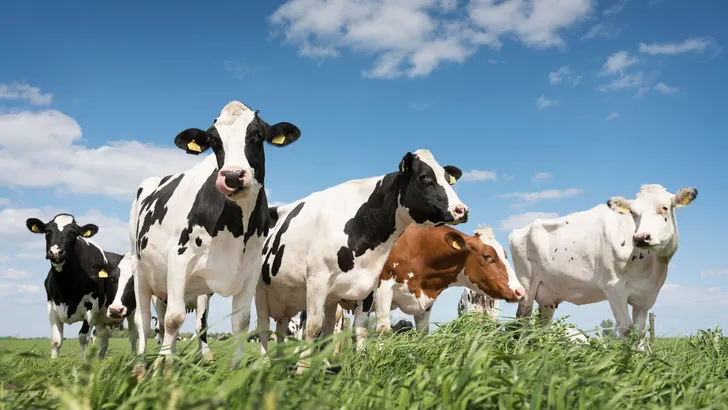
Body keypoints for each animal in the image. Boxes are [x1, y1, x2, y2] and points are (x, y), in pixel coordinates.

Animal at [25, 213, 137, 359]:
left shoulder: (92, 307)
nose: (56, 252)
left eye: (73, 233)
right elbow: (56, 341)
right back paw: (100, 359)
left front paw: (82, 361)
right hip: (102, 318)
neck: (65, 286)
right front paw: (53, 361)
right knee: (104, 338)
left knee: (133, 335)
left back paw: (135, 357)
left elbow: (83, 338)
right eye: (48, 232)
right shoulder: (51, 307)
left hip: (132, 311)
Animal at [128, 100, 302, 366]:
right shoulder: (179, 258)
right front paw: (163, 366)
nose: (232, 176)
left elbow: (241, 321)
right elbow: (174, 318)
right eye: (213, 140)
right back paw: (141, 363)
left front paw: (237, 366)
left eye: (257, 134)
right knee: (145, 320)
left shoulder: (250, 269)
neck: (236, 228)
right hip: (140, 269)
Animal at [254, 149, 469, 374]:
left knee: (289, 327)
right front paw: (302, 371)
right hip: (260, 288)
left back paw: (284, 363)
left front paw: (358, 366)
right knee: (263, 326)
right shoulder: (316, 280)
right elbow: (313, 328)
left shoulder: (368, 286)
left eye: (447, 178)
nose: (462, 210)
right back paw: (264, 364)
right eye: (425, 176)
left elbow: (360, 330)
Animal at [353, 225, 524, 348]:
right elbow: (383, 329)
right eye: (488, 256)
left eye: (506, 255)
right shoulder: (383, 288)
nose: (520, 291)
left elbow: (423, 332)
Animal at [509, 184, 698, 349]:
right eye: (633, 212)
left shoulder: (646, 298)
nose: (641, 237)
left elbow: (640, 333)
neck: (651, 265)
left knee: (543, 325)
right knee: (523, 318)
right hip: (526, 284)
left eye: (664, 207)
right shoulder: (614, 288)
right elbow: (626, 329)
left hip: (548, 296)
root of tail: (519, 230)